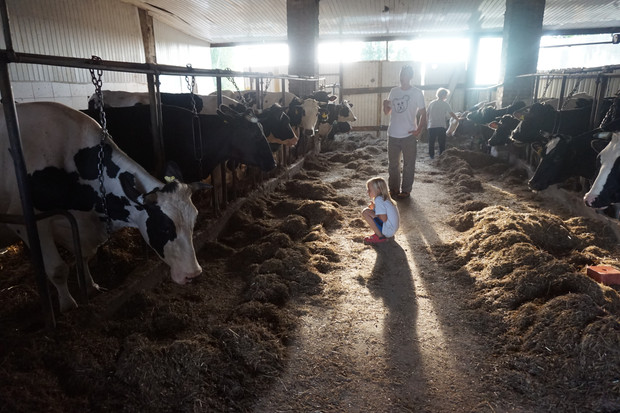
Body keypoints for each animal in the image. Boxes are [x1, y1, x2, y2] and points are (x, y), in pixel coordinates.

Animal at [0, 101, 208, 310]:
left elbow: (83, 256)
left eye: (194, 222)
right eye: (164, 228)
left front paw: (90, 286)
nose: (193, 273)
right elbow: (58, 269)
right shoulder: (29, 222)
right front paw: (68, 305)